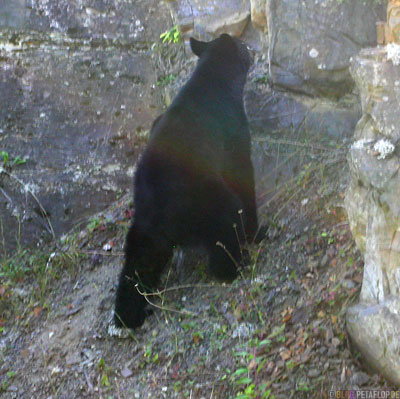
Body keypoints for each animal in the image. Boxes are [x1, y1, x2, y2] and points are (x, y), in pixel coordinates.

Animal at [114, 33, 260, 328]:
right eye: (244, 45)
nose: (252, 50)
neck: (213, 77)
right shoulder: (233, 131)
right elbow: (242, 171)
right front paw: (257, 230)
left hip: (143, 224)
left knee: (138, 259)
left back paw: (128, 313)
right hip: (208, 198)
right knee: (226, 224)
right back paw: (233, 265)